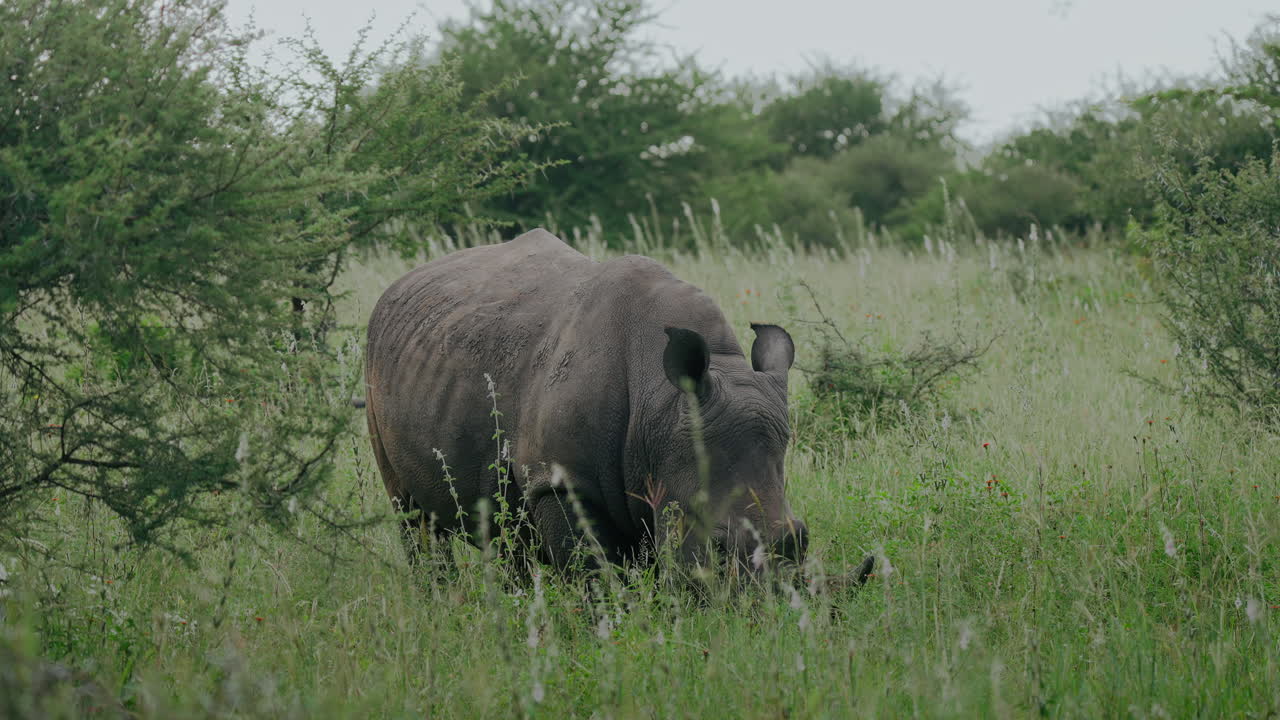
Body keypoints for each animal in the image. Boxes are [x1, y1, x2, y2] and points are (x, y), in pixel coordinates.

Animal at [364, 229, 863, 580]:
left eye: (802, 539)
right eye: (720, 547)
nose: (766, 619)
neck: (660, 405)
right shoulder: (561, 482)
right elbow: (595, 577)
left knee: (506, 535)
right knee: (410, 513)